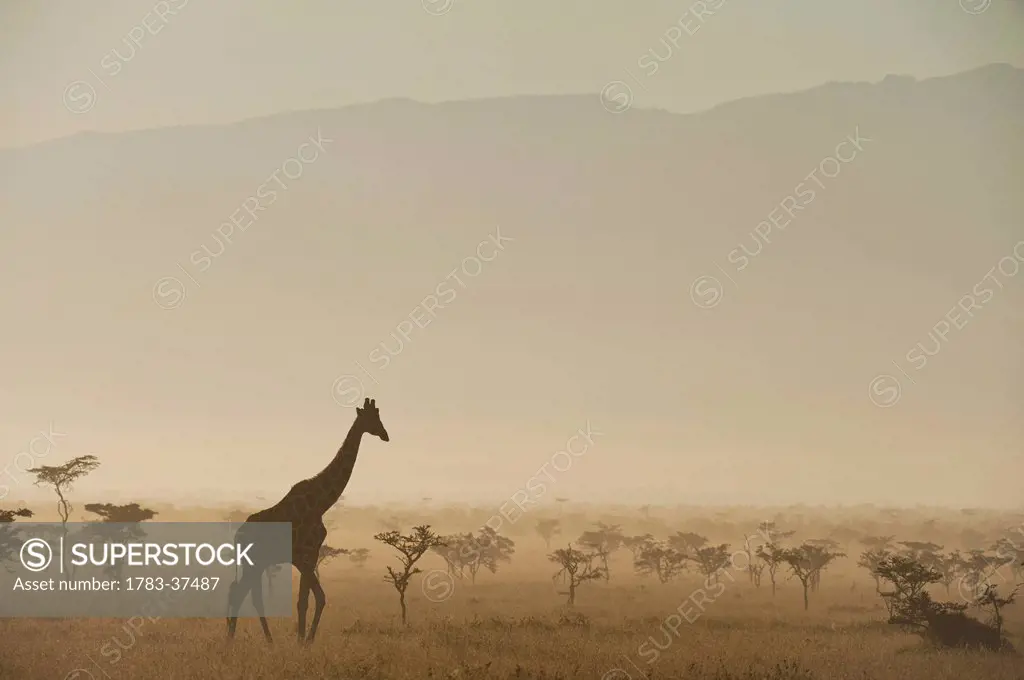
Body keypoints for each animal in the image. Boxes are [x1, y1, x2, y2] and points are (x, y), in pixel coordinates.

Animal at [226, 393, 389, 643]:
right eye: (371, 418)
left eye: (379, 416)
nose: (385, 435)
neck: (320, 504)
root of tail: (238, 535)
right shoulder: (302, 556)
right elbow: (317, 597)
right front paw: (306, 641)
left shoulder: (311, 555)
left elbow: (305, 600)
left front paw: (302, 640)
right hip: (253, 562)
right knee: (240, 593)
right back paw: (233, 642)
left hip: (257, 563)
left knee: (246, 594)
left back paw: (266, 641)